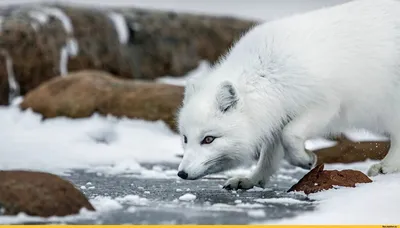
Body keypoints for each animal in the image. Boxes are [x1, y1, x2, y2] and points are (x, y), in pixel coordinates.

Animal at [177, 0, 400, 190]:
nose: (182, 174)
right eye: (185, 138)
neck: (267, 75)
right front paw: (252, 179)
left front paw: (305, 159)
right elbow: (269, 156)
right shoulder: (276, 115)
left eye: (208, 139)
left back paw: (386, 166)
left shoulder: (325, 105)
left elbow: (290, 134)